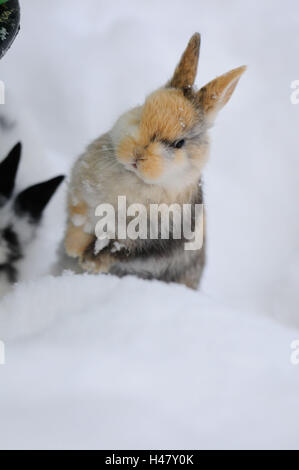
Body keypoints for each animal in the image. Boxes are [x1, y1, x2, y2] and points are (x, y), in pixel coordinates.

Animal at [65, 33, 246, 288]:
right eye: (141, 113)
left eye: (179, 143)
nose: (137, 155)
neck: (135, 179)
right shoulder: (81, 195)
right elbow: (78, 222)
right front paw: (71, 249)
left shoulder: (147, 242)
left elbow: (117, 250)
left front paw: (90, 263)